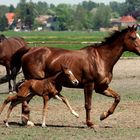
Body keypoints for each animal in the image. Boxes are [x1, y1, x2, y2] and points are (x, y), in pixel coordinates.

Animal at [10, 25, 140, 128]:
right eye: (134, 37)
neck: (101, 59)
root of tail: (29, 50)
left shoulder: (101, 88)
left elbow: (117, 97)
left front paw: (103, 115)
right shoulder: (89, 85)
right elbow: (88, 105)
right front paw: (90, 123)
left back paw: (26, 121)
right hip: (33, 83)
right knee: (24, 100)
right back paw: (26, 121)